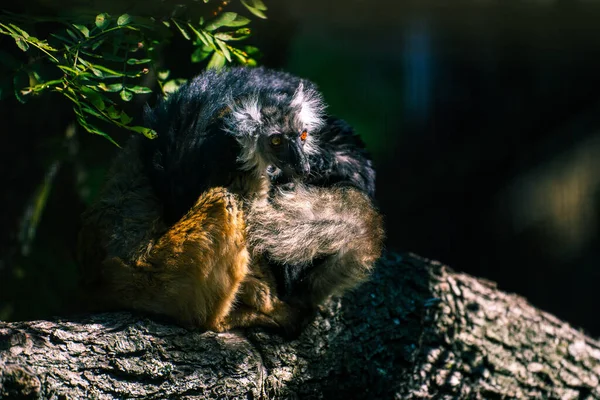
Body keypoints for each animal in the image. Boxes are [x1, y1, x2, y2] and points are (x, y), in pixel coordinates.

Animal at [77, 68, 382, 334]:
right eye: (276, 142)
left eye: (303, 136)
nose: (301, 165)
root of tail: (103, 282)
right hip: (163, 280)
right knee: (226, 202)